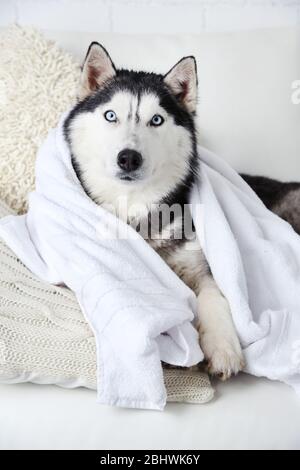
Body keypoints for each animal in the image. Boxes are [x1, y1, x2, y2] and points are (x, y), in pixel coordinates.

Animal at [63, 42, 246, 380]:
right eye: (111, 115)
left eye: (157, 120)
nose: (129, 158)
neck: (133, 206)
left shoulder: (198, 263)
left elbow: (215, 292)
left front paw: (223, 346)